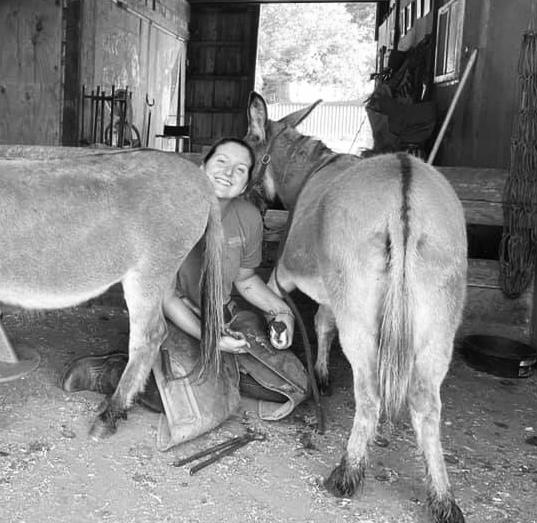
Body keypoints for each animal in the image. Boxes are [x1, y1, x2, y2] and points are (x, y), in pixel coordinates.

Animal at [245, 93, 467, 523]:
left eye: (247, 150)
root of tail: (404, 186)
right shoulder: (333, 292)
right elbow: (323, 324)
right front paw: (321, 373)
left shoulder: (287, 274)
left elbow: (307, 319)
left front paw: (299, 360)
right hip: (439, 322)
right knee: (426, 404)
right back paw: (442, 498)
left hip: (362, 318)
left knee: (370, 394)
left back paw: (347, 473)